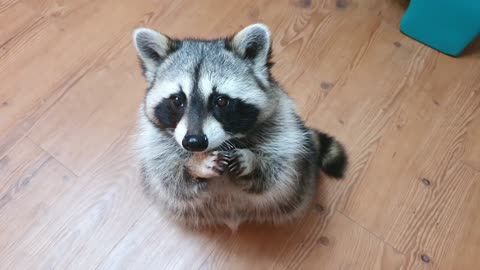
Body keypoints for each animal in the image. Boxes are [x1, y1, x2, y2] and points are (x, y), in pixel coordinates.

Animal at [133, 23, 346, 230]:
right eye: (178, 100)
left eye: (221, 101)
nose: (194, 142)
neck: (225, 142)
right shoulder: (156, 144)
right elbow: (170, 181)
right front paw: (194, 165)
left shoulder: (283, 127)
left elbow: (277, 171)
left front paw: (253, 162)